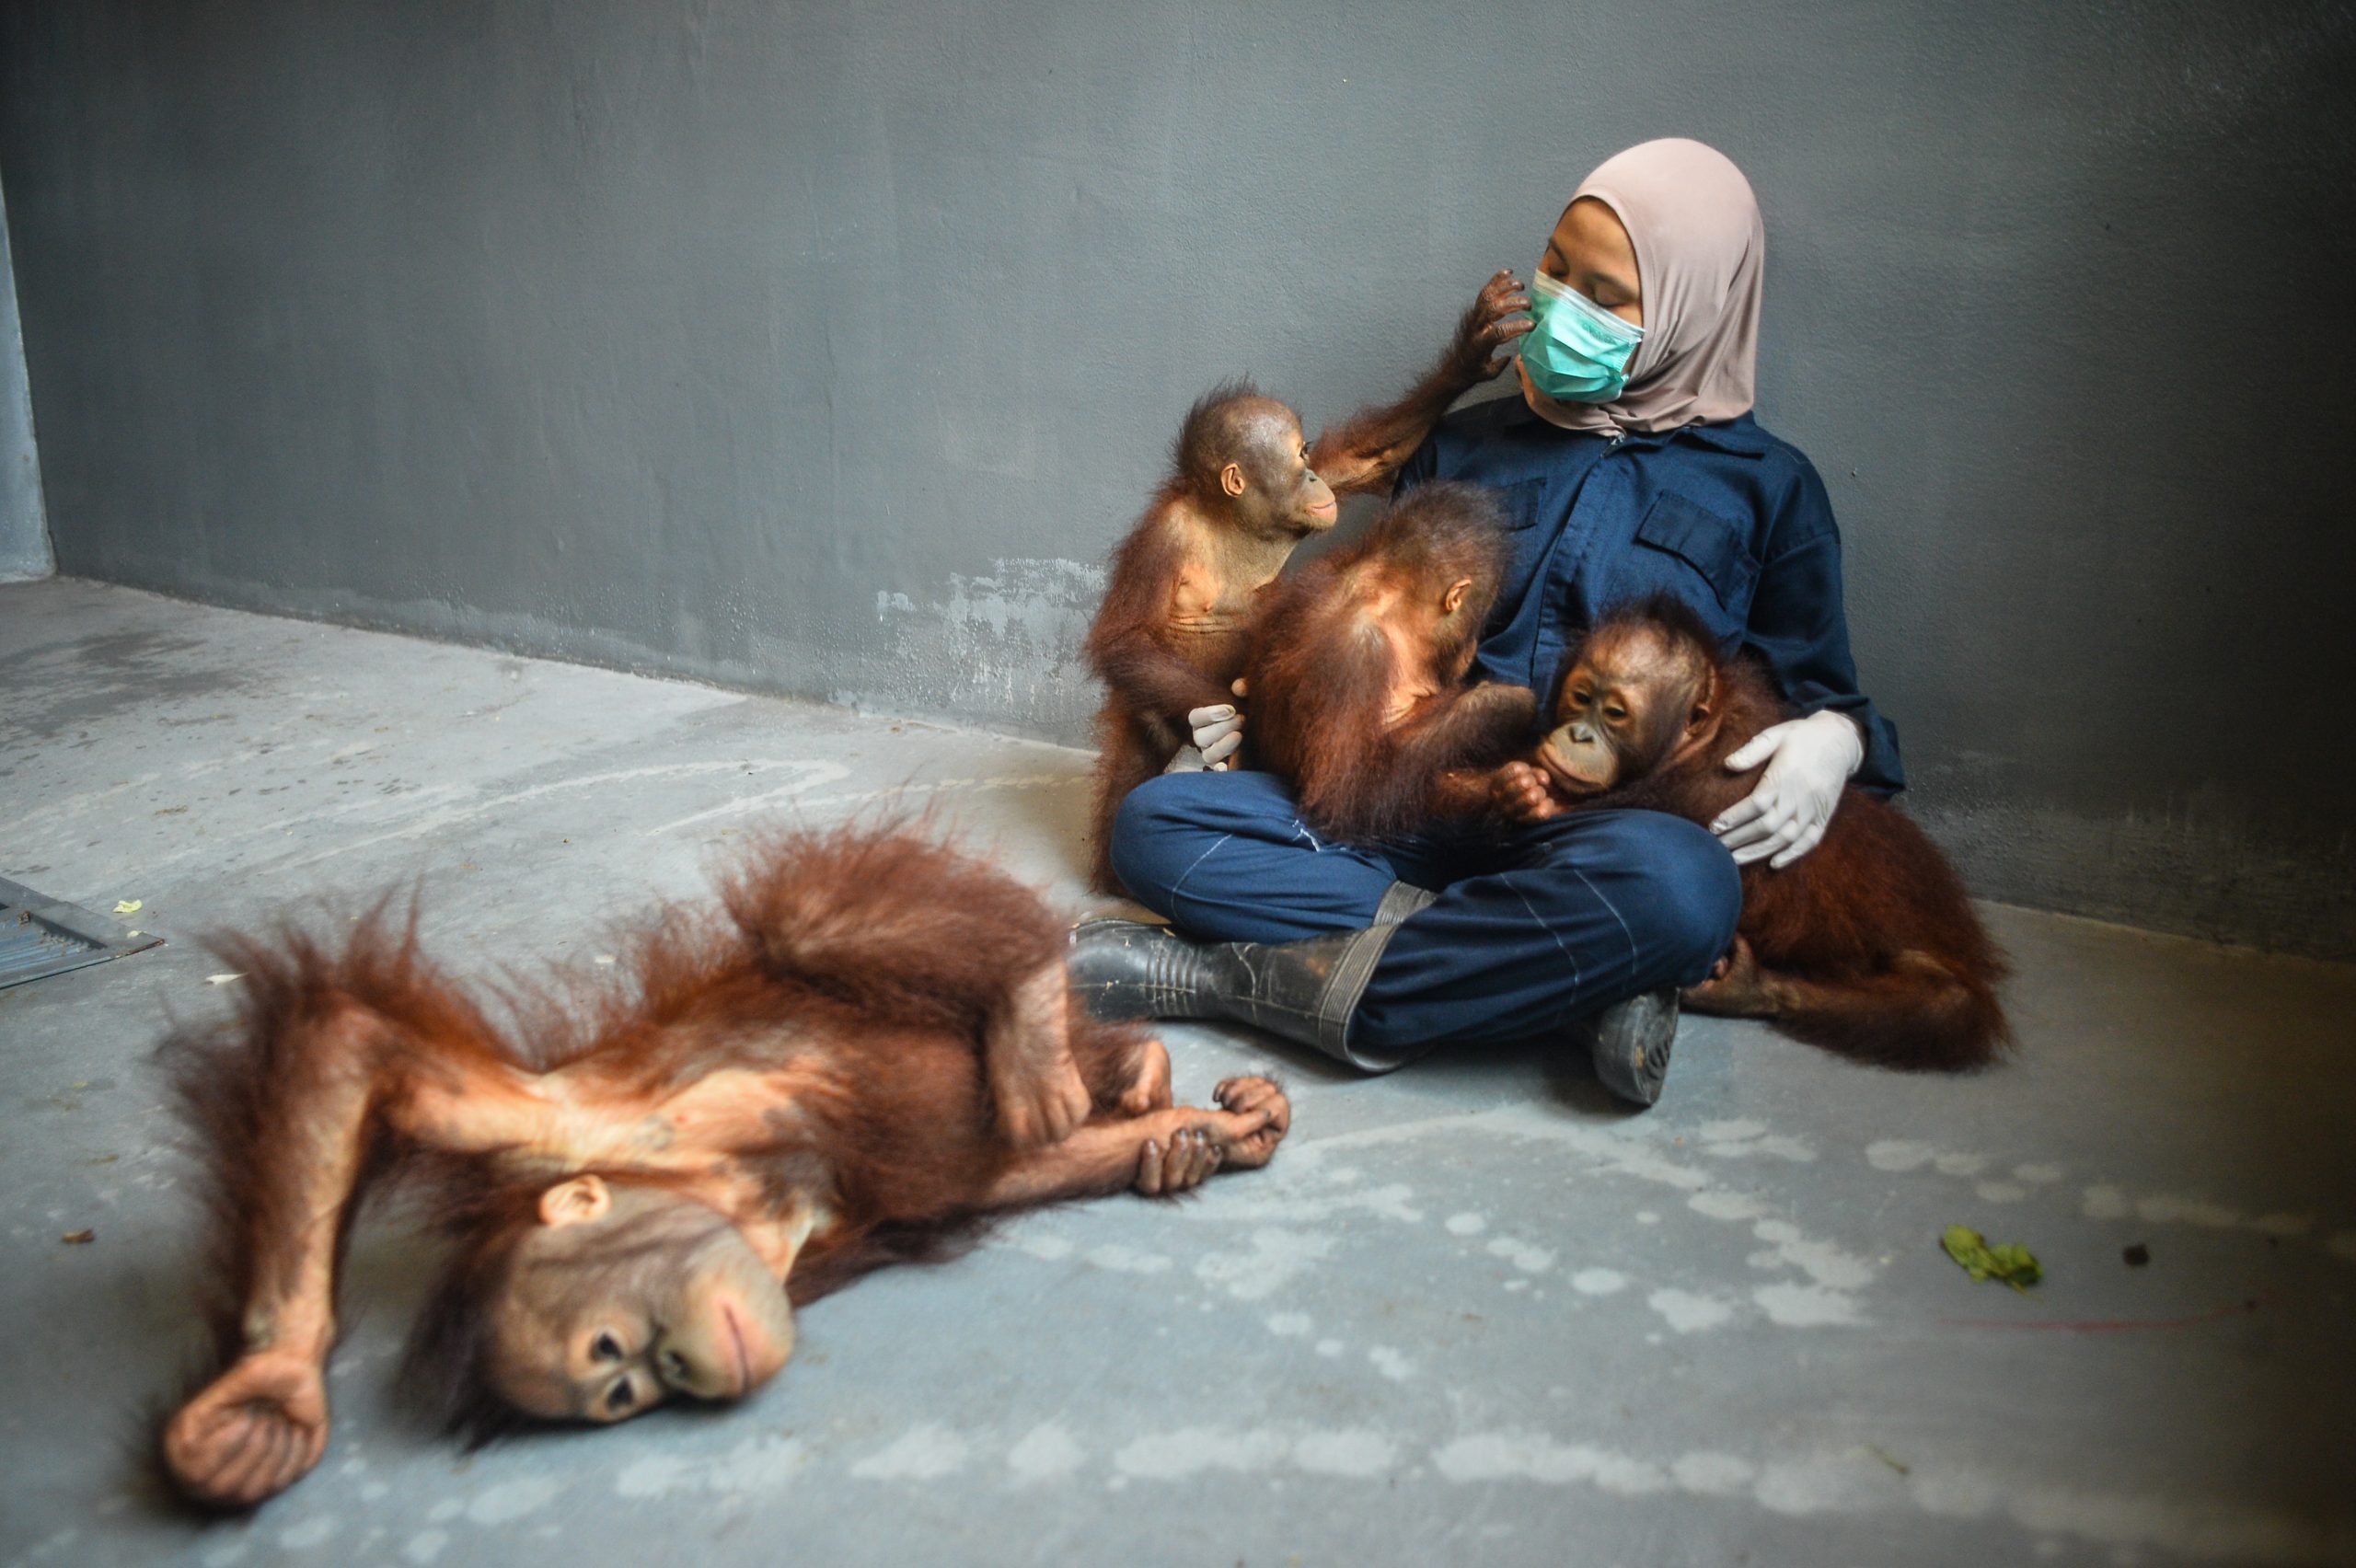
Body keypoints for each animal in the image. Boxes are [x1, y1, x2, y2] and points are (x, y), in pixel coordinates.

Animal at [154, 821, 1291, 1509]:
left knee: (816, 924)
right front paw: (1195, 1142)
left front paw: (265, 1392)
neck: (735, 1203)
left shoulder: (586, 1128)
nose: (678, 1372)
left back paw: (1029, 1012)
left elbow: (353, 1048)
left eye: (613, 1349)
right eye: (618, 1398)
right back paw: (1156, 1097)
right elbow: (978, 1177)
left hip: (826, 976)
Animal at [1241, 480, 1538, 845]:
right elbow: (1347, 794)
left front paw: (1516, 790)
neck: (1381, 594)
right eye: (1481, 613)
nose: (1472, 647)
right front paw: (1502, 704)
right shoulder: (1358, 654)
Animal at [1478, 596, 2009, 1069]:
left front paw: (1531, 797)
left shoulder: (1701, 785)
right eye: (1581, 698)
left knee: (1945, 1004)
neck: (1693, 741)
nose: (1579, 735)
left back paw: (1745, 987)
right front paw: (1517, 787)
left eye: (1614, 714)